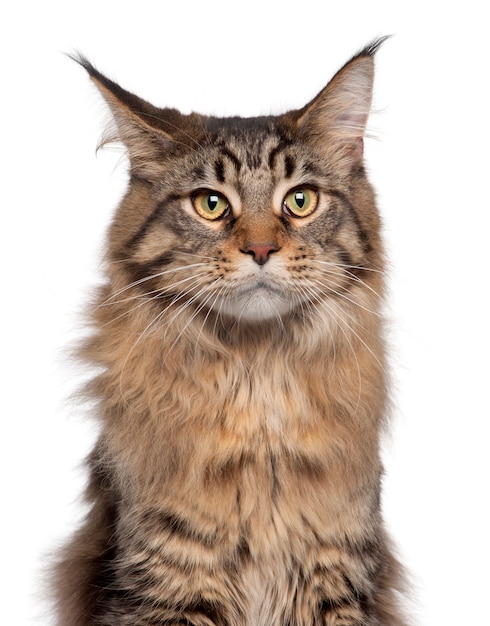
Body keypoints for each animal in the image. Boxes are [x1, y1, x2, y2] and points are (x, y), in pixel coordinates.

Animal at [52, 39, 410, 624]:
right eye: (211, 204)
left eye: (300, 200)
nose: (261, 249)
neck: (257, 377)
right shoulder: (166, 578)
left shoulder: (337, 575)